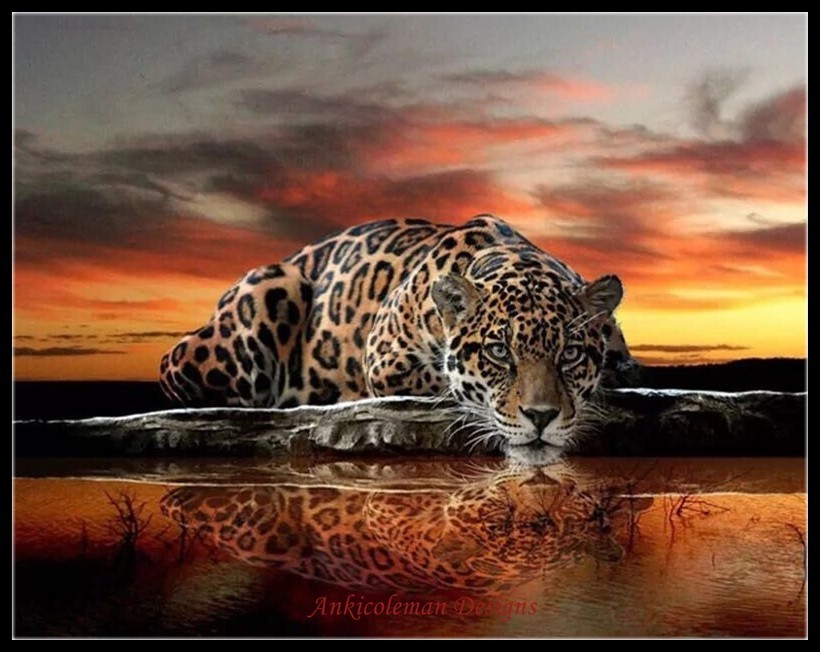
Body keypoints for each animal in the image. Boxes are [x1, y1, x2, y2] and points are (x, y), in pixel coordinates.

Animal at [160, 214, 637, 462]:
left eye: (570, 354)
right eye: (499, 353)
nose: (541, 417)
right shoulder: (385, 357)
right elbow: (444, 381)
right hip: (267, 292)